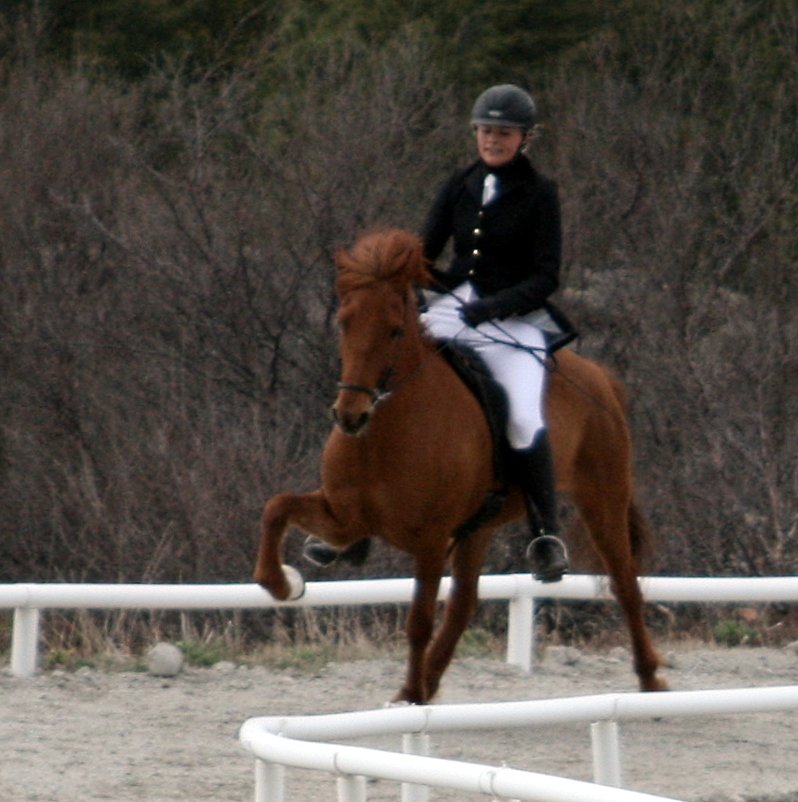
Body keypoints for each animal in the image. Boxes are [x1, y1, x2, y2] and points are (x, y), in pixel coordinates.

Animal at [253, 228, 667, 704]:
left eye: (395, 331)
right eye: (344, 323)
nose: (350, 416)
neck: (382, 435)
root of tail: (599, 377)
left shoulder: (432, 539)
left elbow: (418, 620)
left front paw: (413, 696)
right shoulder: (345, 519)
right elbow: (276, 508)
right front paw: (283, 583)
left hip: (602, 498)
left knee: (625, 583)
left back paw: (651, 681)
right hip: (479, 527)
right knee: (465, 600)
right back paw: (427, 680)